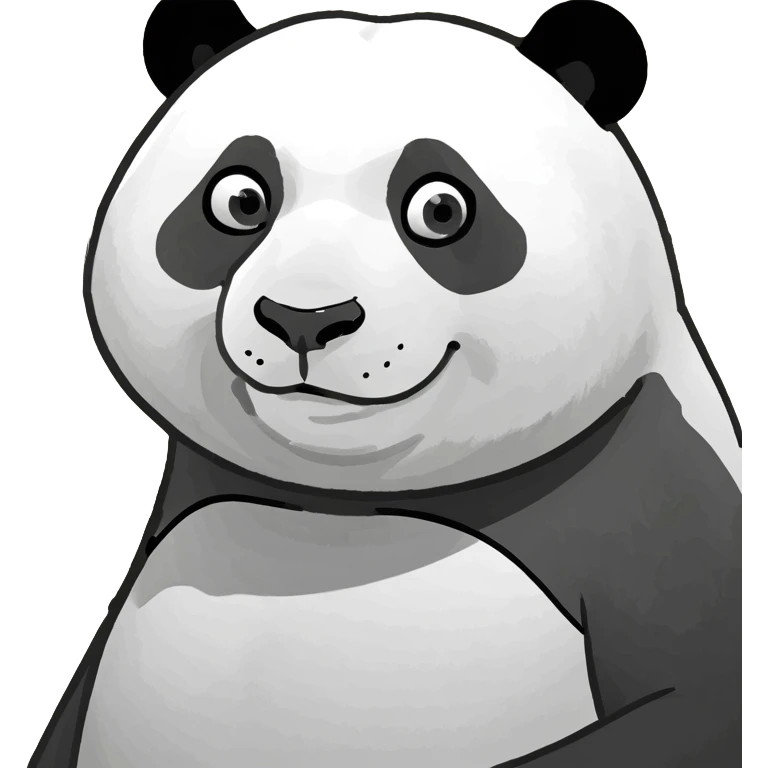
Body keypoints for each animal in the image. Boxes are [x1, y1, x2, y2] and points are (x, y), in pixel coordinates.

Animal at [34, 1, 743, 767]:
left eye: (441, 209)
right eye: (238, 200)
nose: (306, 319)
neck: (343, 506)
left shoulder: (655, 510)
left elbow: (694, 699)